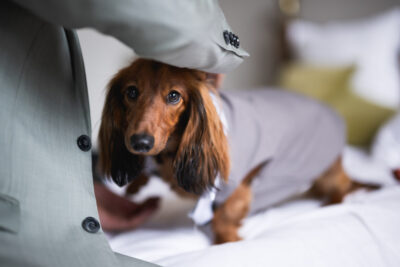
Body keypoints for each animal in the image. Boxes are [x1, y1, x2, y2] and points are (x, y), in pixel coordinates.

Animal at [97, 58, 378, 245]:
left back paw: (331, 201)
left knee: (341, 187)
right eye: (131, 92)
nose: (140, 143)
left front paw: (227, 239)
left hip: (325, 170)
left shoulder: (238, 187)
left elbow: (224, 217)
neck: (170, 155)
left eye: (174, 96)